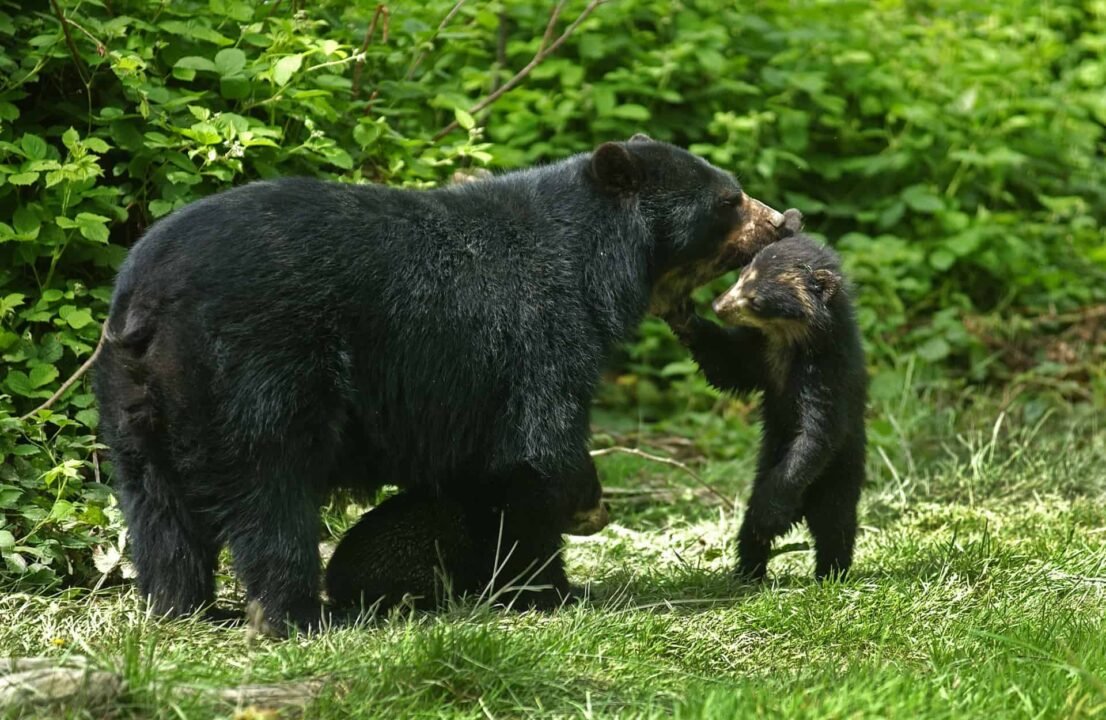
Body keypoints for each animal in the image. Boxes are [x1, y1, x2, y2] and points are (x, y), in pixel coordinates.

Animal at [668, 236, 867, 579]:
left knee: (834, 524)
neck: (789, 337)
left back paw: (830, 572)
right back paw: (748, 572)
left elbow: (816, 434)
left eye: (756, 299)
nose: (718, 305)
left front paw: (770, 515)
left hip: (840, 473)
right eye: (741, 275)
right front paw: (679, 312)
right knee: (747, 528)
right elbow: (728, 365)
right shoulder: (761, 353)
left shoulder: (828, 374)